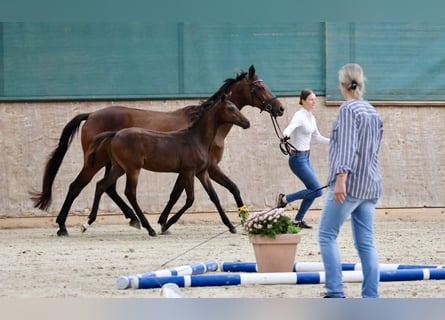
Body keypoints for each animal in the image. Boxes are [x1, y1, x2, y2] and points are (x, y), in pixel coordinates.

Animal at [85, 94, 248, 235]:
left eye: (236, 107)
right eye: (231, 108)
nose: (247, 123)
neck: (196, 140)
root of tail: (115, 134)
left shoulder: (202, 173)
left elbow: (214, 196)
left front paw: (231, 226)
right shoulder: (189, 171)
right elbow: (190, 199)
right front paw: (166, 224)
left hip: (119, 168)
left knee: (101, 185)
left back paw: (87, 223)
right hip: (133, 169)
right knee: (130, 193)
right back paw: (149, 228)